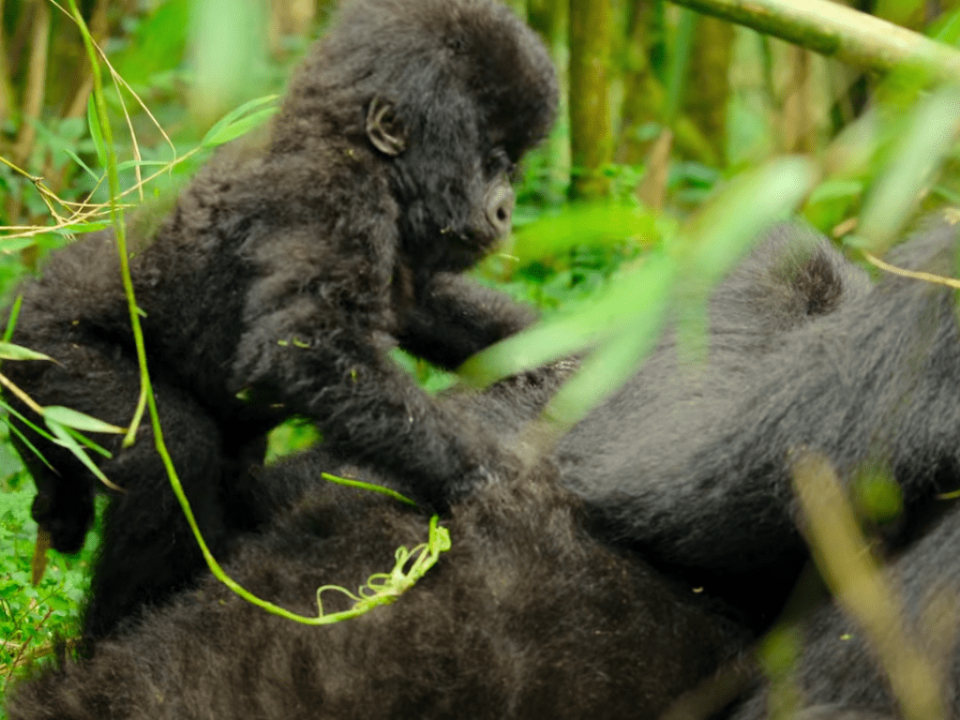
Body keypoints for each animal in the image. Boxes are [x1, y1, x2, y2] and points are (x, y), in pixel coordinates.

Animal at [7, 0, 560, 640]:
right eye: (494, 162)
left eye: (511, 167)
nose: (505, 211)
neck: (349, 142)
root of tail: (21, 302)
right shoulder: (328, 193)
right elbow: (300, 346)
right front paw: (487, 476)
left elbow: (425, 305)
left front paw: (559, 348)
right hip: (47, 352)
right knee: (166, 449)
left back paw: (54, 494)